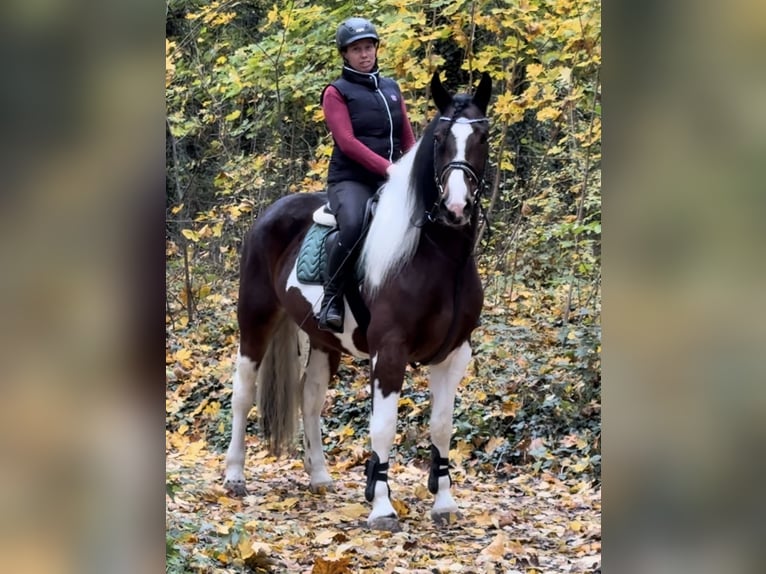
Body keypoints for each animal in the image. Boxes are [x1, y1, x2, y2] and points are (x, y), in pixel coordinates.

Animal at [225, 72, 496, 536]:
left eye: (482, 137)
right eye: (440, 138)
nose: (456, 208)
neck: (440, 257)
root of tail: (273, 211)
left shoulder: (454, 354)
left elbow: (442, 426)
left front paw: (443, 503)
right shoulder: (390, 352)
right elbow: (383, 427)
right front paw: (382, 508)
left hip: (321, 339)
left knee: (310, 397)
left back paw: (319, 477)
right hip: (255, 319)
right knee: (243, 391)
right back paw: (234, 476)